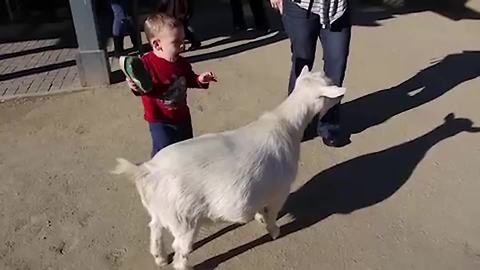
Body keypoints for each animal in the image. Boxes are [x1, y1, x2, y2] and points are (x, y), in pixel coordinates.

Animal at [111, 66, 346, 268]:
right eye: (330, 88)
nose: (341, 94)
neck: (287, 125)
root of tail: (147, 171)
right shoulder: (279, 191)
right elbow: (272, 214)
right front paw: (273, 230)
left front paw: (259, 218)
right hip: (184, 220)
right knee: (180, 249)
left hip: (161, 210)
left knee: (155, 228)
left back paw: (159, 258)